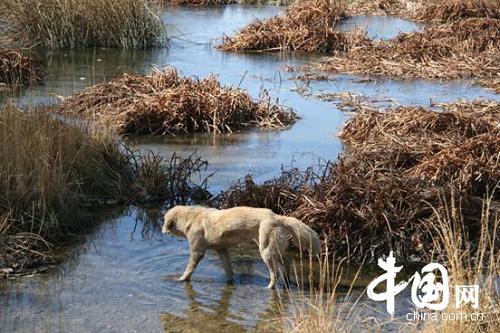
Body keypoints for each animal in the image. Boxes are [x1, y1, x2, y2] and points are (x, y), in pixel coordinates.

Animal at [162, 204, 322, 286]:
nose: (162, 230)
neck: (190, 217)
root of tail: (277, 217)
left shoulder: (197, 252)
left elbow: (189, 269)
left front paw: (181, 279)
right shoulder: (222, 250)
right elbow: (228, 269)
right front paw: (229, 281)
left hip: (266, 251)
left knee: (274, 273)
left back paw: (269, 288)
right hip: (276, 249)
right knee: (287, 261)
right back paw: (287, 281)